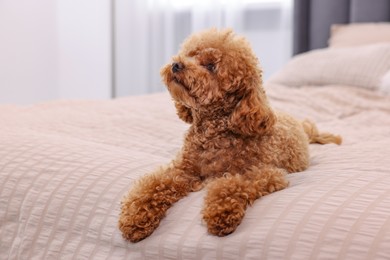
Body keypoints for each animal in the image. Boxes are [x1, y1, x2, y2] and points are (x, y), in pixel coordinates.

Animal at [119, 27, 342, 242]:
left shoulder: (265, 173)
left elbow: (230, 184)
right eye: (190, 55)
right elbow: (154, 185)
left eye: (211, 66)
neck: (213, 133)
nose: (176, 64)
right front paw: (136, 217)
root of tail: (301, 126)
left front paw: (221, 213)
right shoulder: (182, 170)